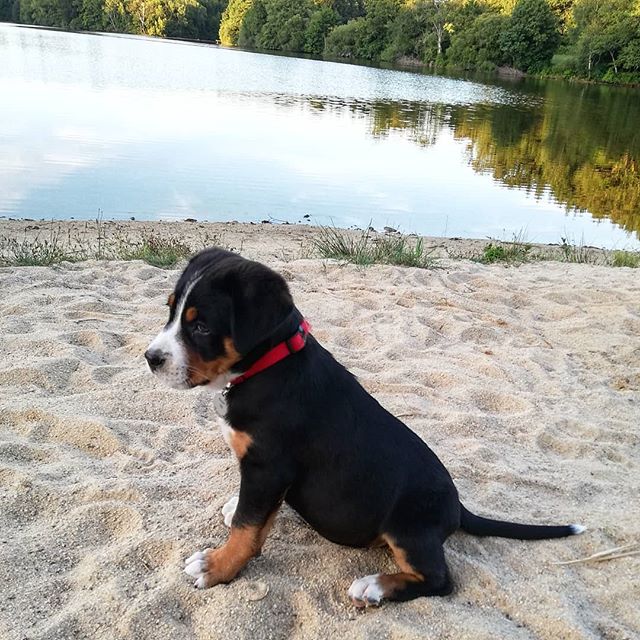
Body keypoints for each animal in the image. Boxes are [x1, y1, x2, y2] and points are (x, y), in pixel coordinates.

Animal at [145, 248, 584, 608]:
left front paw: (217, 566)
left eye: (201, 327)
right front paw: (233, 511)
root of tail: (456, 507)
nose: (151, 358)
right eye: (170, 312)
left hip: (408, 528)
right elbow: (252, 516)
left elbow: (247, 528)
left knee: (440, 581)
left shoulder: (268, 467)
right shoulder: (264, 474)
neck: (268, 367)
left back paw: (374, 586)